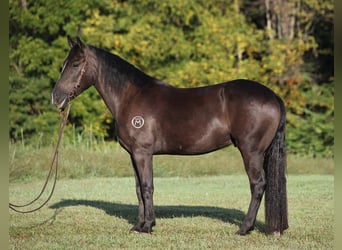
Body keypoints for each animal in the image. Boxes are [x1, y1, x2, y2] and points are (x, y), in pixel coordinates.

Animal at [50, 36, 288, 235]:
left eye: (75, 64)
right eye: (64, 64)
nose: (56, 98)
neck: (131, 96)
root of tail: (273, 96)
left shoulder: (143, 153)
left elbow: (147, 187)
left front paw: (147, 226)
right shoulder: (133, 155)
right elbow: (138, 189)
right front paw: (138, 226)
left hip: (251, 152)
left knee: (258, 185)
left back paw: (244, 228)